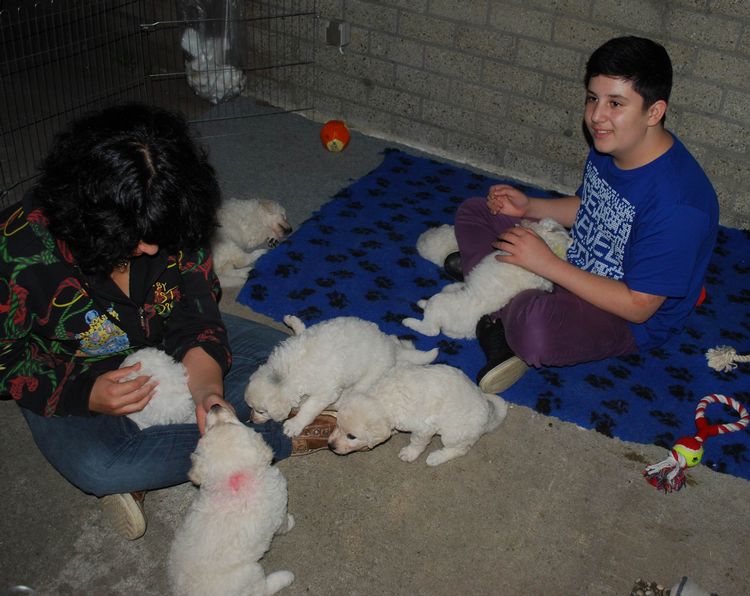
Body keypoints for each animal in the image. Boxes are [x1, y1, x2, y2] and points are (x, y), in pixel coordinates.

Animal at [167, 405, 295, 596]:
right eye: (234, 422)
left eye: (210, 428)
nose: (215, 406)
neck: (233, 477)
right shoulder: (278, 508)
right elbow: (284, 523)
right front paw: (291, 522)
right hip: (251, 573)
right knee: (262, 589)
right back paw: (285, 577)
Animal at [244, 315, 439, 438]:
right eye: (252, 408)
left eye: (262, 411)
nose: (251, 420)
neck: (285, 375)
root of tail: (391, 348)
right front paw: (294, 322)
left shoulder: (325, 392)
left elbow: (309, 408)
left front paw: (294, 425)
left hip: (369, 377)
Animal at [328, 363, 508, 466]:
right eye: (337, 425)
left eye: (352, 436)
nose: (330, 446)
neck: (382, 397)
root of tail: (488, 416)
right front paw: (393, 431)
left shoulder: (424, 427)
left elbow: (417, 442)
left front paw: (409, 453)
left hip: (454, 433)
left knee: (460, 449)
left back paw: (436, 457)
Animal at [403, 218, 572, 339]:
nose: (524, 220)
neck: (551, 247)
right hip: (449, 291)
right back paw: (423, 303)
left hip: (439, 304)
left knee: (431, 329)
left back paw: (409, 320)